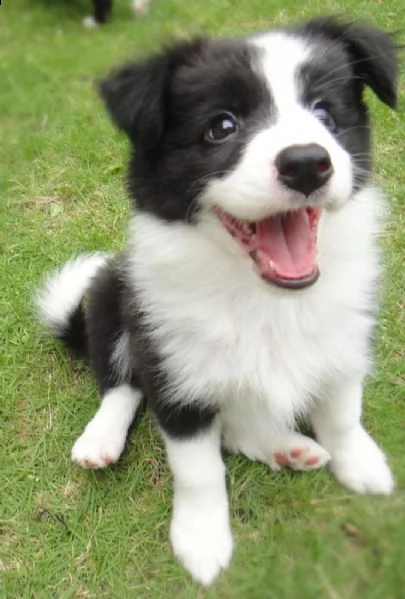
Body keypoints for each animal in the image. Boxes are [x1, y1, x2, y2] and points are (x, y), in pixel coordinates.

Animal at [38, 17, 398, 584]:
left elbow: (342, 412)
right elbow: (198, 469)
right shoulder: (176, 375)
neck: (261, 297)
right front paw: (202, 542)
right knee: (122, 384)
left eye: (324, 114)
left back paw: (288, 447)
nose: (306, 163)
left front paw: (361, 465)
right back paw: (100, 439)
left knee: (235, 427)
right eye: (221, 127)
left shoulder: (343, 340)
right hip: (113, 292)